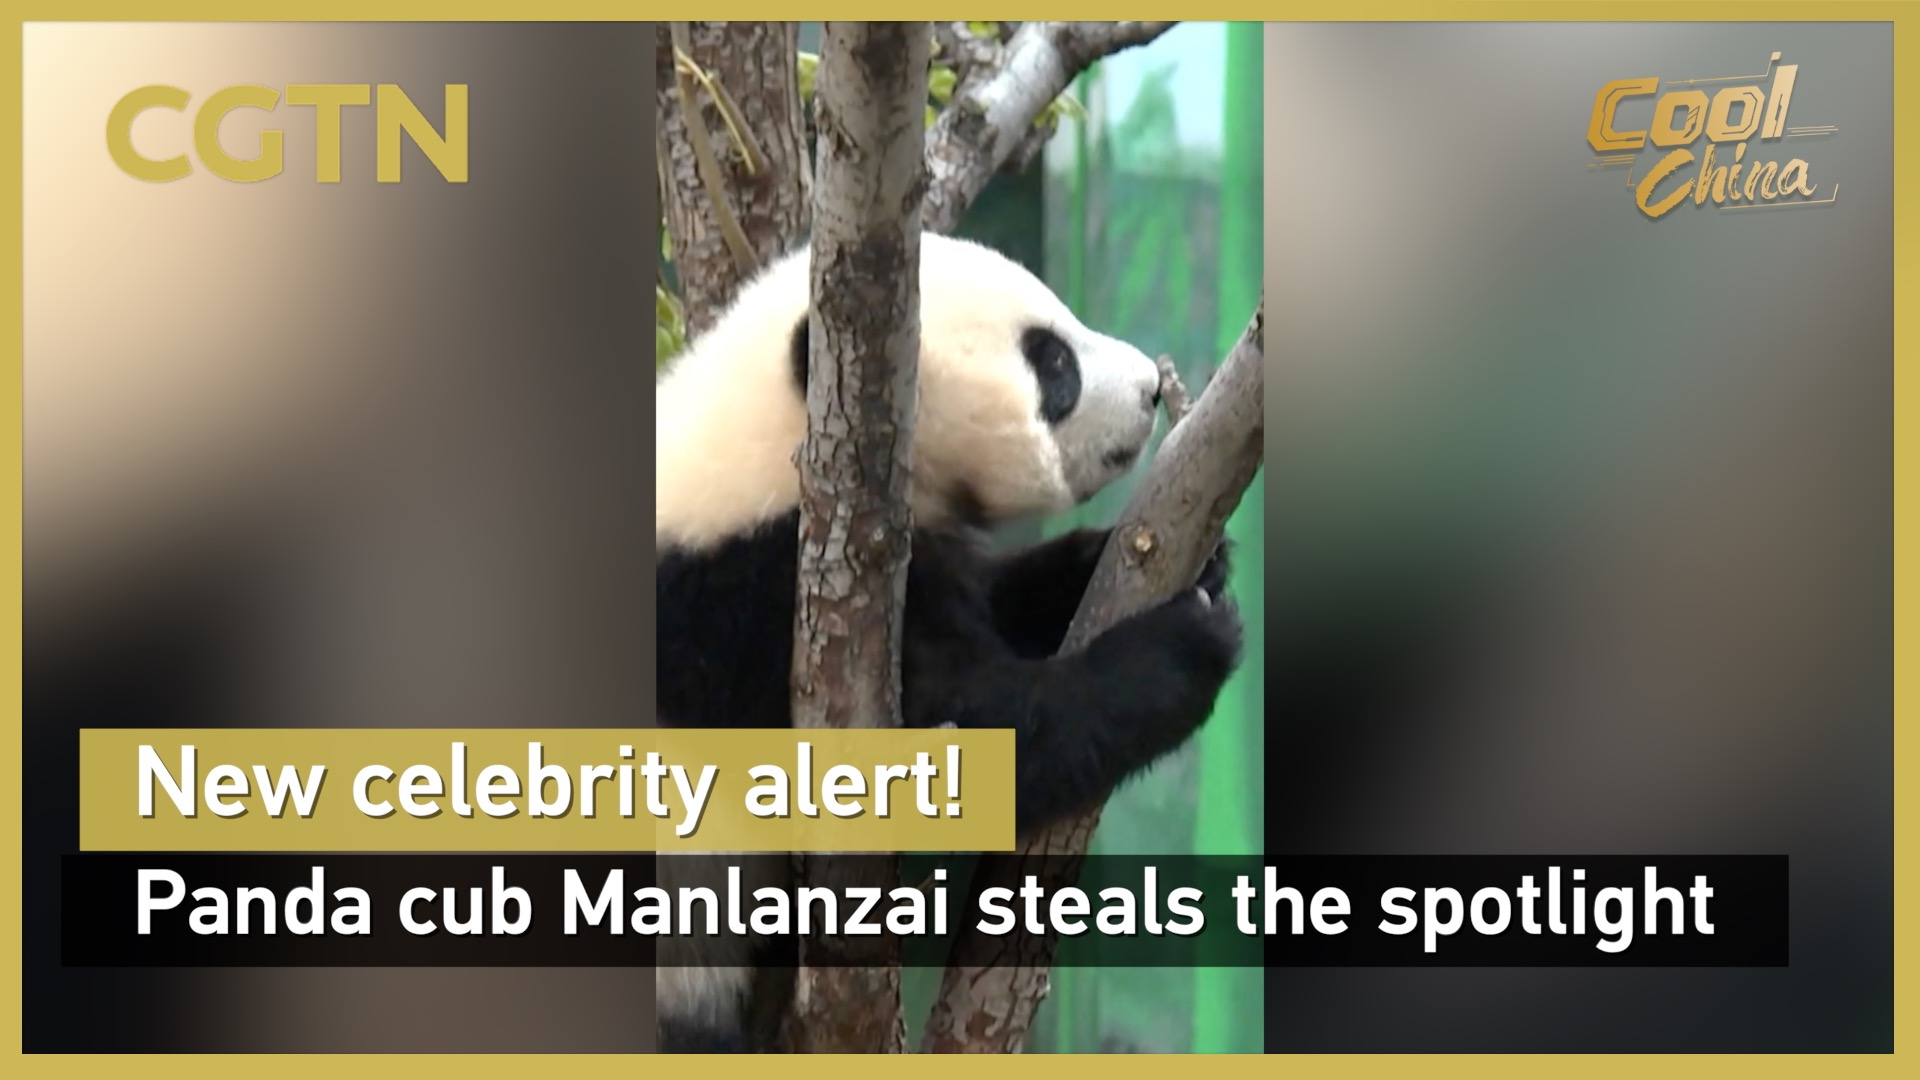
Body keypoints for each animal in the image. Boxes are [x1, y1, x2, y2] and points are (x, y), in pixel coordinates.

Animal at [654, 232, 1244, 1053]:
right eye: (1051, 363)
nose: (1153, 389)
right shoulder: (750, 615)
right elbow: (958, 744)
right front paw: (1182, 645)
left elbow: (999, 604)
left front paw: (1170, 560)